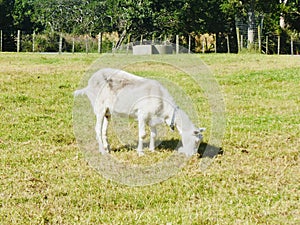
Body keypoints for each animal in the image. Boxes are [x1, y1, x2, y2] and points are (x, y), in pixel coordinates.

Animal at [74, 68, 205, 156]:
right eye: (196, 141)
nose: (194, 155)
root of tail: (88, 84)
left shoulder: (152, 118)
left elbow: (154, 134)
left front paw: (152, 149)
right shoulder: (142, 114)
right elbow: (142, 134)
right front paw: (141, 152)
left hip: (107, 111)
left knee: (104, 129)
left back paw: (107, 148)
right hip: (99, 107)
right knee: (97, 128)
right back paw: (102, 151)